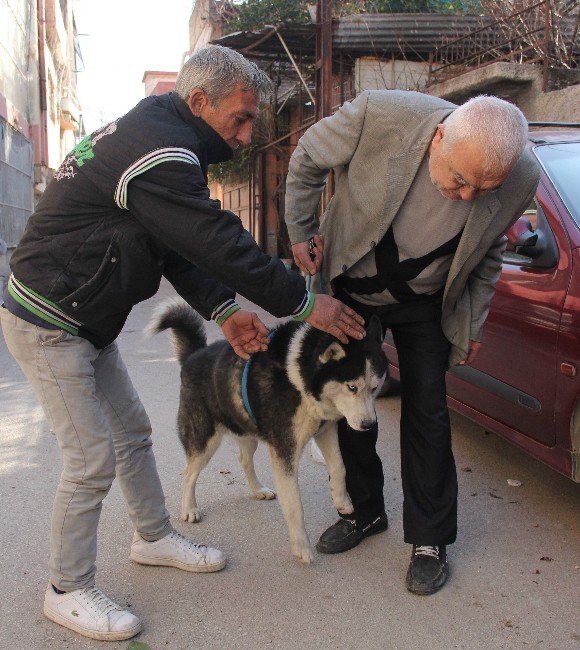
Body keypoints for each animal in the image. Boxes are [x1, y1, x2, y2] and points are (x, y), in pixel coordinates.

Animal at [150, 302, 388, 560]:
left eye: (375, 388)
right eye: (352, 387)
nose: (368, 425)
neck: (299, 375)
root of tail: (194, 354)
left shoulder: (325, 429)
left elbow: (339, 466)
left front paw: (341, 500)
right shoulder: (284, 450)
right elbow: (294, 504)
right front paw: (301, 546)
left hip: (246, 430)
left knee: (244, 459)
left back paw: (258, 490)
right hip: (204, 439)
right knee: (189, 472)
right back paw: (189, 508)